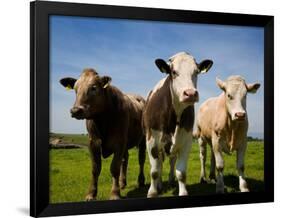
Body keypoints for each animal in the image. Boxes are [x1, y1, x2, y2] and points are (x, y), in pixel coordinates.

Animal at [60, 69, 145, 200]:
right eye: (75, 89)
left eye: (94, 88)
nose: (75, 110)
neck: (102, 120)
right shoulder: (93, 143)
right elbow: (95, 169)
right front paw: (91, 194)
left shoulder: (119, 142)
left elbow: (114, 168)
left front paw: (114, 193)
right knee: (125, 159)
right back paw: (122, 183)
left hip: (143, 139)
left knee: (141, 160)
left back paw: (140, 181)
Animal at [142, 52, 212, 197]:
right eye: (174, 72)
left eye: (196, 71)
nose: (190, 93)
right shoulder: (151, 141)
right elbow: (154, 171)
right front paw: (152, 192)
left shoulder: (186, 141)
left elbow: (181, 172)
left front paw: (182, 191)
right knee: (160, 164)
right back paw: (159, 185)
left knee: (172, 161)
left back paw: (170, 181)